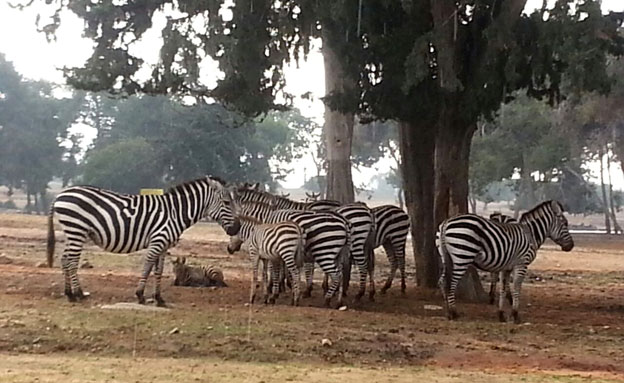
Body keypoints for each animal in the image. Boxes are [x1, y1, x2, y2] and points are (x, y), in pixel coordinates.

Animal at [46, 176, 240, 306]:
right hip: (76, 230)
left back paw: (69, 293)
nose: (237, 228)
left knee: (65, 259)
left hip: (73, 232)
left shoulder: (164, 245)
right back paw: (78, 294)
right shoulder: (157, 241)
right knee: (71, 261)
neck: (175, 213)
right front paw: (140, 295)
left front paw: (159, 298)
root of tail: (60, 195)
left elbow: (158, 271)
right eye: (227, 202)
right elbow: (147, 267)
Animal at [436, 201, 572, 324]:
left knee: (443, 281)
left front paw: (501, 315)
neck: (531, 234)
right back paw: (454, 313)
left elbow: (503, 289)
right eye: (565, 224)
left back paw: (448, 312)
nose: (571, 246)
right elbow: (517, 288)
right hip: (463, 255)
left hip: (445, 257)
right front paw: (515, 315)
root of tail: (447, 222)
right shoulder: (521, 264)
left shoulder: (505, 267)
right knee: (452, 283)